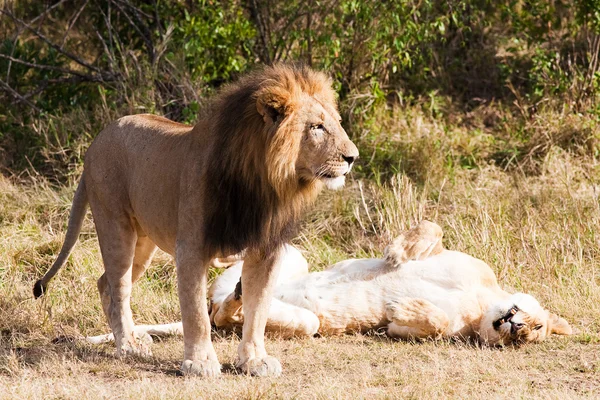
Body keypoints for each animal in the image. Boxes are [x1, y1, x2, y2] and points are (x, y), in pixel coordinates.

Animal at [32, 64, 358, 376]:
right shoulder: (190, 248)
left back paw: (130, 338)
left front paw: (254, 360)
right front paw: (200, 364)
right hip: (115, 225)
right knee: (118, 288)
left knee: (105, 283)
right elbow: (196, 313)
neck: (262, 184)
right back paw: (128, 346)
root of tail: (94, 144)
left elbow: (258, 309)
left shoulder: (266, 252)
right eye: (317, 127)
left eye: (337, 123)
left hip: (144, 243)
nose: (353, 157)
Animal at [90, 220, 572, 346]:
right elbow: (430, 228)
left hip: (306, 324)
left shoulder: (423, 330)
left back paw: (238, 301)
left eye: (533, 335)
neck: (483, 302)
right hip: (291, 254)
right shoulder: (461, 259)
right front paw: (398, 254)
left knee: (229, 315)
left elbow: (426, 324)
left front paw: (404, 308)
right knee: (233, 276)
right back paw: (231, 260)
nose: (517, 328)